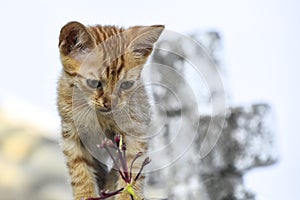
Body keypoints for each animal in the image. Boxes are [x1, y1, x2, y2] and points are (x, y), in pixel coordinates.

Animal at [56, 20, 164, 200]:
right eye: (94, 83)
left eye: (126, 85)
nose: (110, 103)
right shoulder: (71, 134)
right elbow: (80, 171)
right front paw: (86, 195)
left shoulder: (135, 131)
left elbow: (132, 169)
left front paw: (127, 196)